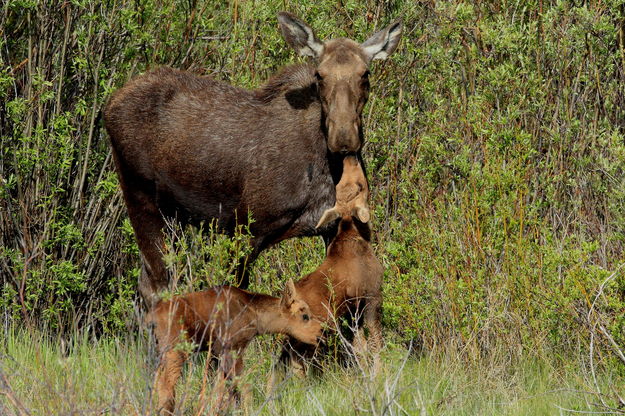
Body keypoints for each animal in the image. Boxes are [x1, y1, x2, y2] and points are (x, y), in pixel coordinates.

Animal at [105, 12, 402, 306]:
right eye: (320, 74)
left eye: (365, 73)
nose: (343, 137)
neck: (327, 168)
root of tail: (108, 105)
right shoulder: (245, 228)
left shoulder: (334, 226)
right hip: (140, 196)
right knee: (155, 286)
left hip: (172, 213)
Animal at [147, 282, 322, 414]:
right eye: (305, 316)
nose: (321, 332)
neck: (257, 319)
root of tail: (150, 319)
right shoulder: (232, 348)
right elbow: (244, 387)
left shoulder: (218, 353)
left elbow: (221, 391)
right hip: (175, 350)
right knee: (166, 386)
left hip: (158, 352)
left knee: (155, 383)